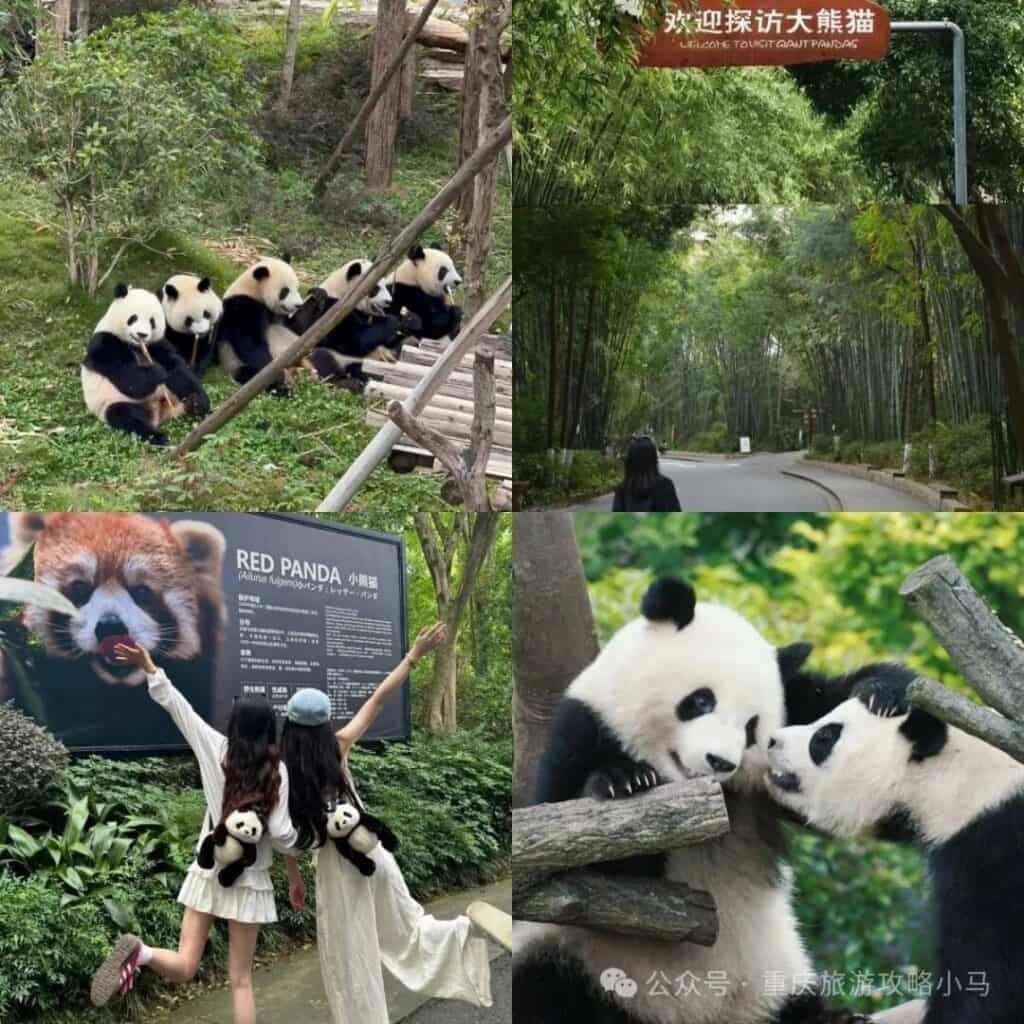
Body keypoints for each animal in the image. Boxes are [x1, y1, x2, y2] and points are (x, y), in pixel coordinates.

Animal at [81, 283, 210, 446]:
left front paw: (199, 401)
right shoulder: (104, 343)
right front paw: (157, 372)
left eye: (152, 322)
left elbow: (175, 367)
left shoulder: (155, 343)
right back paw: (158, 438)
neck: (136, 345)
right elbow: (127, 377)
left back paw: (194, 406)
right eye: (133, 318)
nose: (142, 334)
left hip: (171, 394)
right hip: (112, 402)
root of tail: (161, 412)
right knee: (126, 416)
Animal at [217, 256, 304, 397]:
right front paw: (276, 376)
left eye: (297, 288)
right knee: (248, 374)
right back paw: (283, 389)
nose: (298, 305)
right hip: (232, 360)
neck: (254, 290)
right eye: (285, 291)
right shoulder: (243, 307)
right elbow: (251, 343)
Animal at [286, 259, 422, 391]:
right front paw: (393, 320)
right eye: (376, 288)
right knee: (324, 359)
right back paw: (350, 382)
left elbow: (385, 339)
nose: (388, 301)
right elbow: (355, 340)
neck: (342, 292)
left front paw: (410, 320)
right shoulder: (331, 312)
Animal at [514, 577, 869, 1024]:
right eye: (701, 701)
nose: (721, 762)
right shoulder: (581, 731)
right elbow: (589, 871)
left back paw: (832, 1016)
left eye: (752, 727)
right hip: (584, 964)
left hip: (772, 980)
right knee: (545, 988)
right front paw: (624, 781)